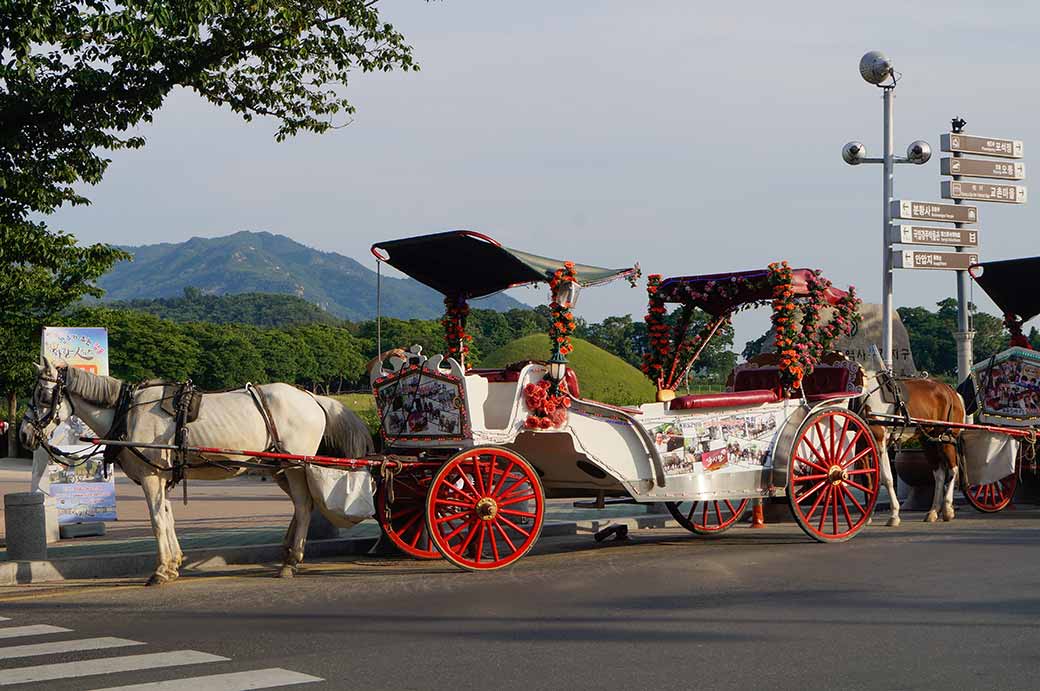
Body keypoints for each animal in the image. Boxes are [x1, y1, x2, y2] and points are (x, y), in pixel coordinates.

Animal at [20, 357, 374, 586]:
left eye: (42, 395)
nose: (24, 434)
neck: (126, 414)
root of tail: (312, 397)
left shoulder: (151, 478)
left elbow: (156, 520)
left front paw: (161, 571)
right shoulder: (161, 476)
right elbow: (168, 517)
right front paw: (173, 563)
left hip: (296, 464)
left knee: (303, 505)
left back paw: (291, 561)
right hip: (279, 468)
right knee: (302, 506)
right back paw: (287, 551)